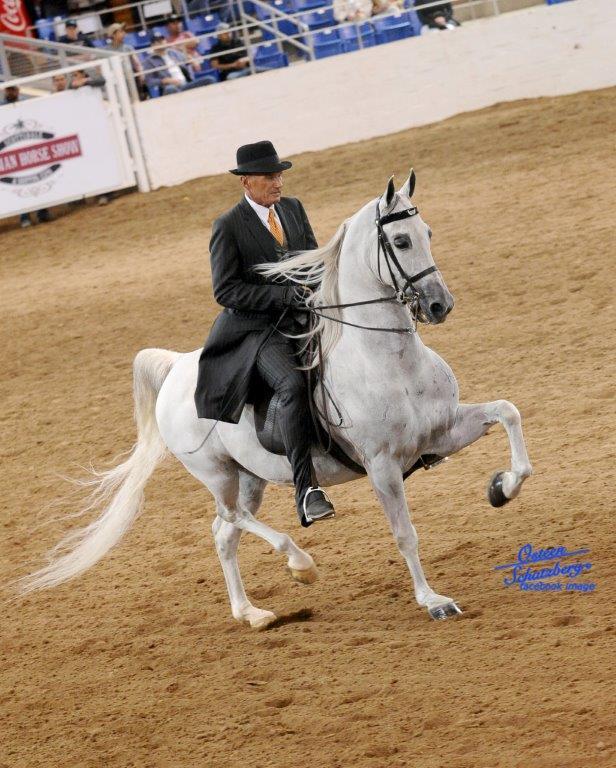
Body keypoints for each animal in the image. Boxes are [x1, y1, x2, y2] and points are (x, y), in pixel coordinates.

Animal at [18, 171, 532, 628]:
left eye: (428, 233)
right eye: (401, 242)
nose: (440, 305)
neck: (387, 360)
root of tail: (178, 367)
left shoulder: (441, 432)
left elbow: (508, 413)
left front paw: (501, 488)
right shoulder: (383, 465)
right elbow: (405, 534)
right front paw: (433, 601)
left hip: (251, 475)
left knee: (224, 533)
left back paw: (252, 614)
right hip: (217, 473)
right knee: (233, 517)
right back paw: (300, 564)